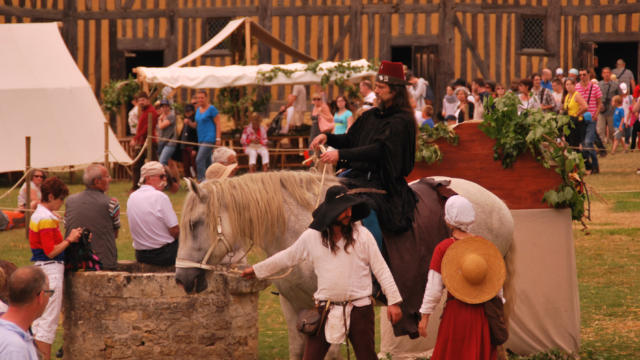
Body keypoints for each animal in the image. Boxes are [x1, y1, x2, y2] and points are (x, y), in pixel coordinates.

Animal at [175, 170, 516, 358]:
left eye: (194, 223)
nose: (181, 279)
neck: (303, 228)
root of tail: (499, 205)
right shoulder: (294, 307)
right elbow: (299, 351)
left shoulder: (332, 308)